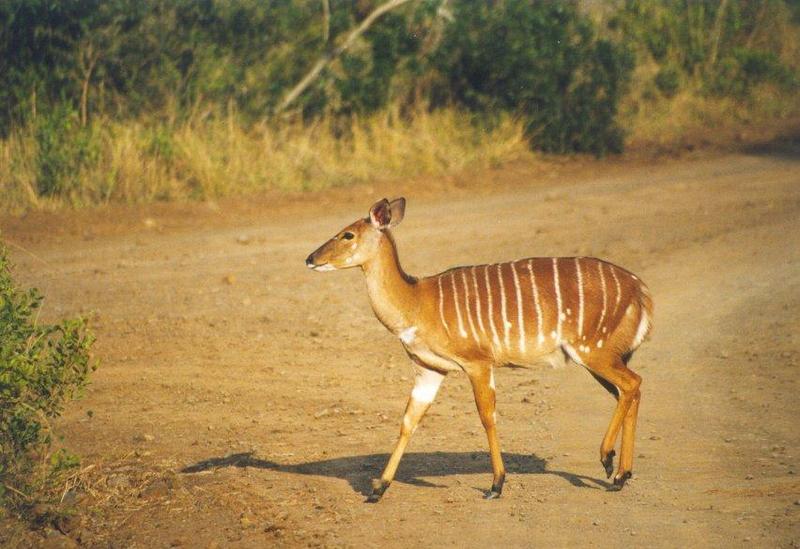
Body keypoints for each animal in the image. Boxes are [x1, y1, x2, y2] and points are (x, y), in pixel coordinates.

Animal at [304, 198, 648, 500]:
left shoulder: (478, 363)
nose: (310, 258)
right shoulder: (429, 369)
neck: (417, 302)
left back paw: (607, 460)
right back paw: (621, 475)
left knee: (632, 384)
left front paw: (496, 484)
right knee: (629, 389)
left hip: (594, 351)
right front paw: (378, 489)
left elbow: (487, 416)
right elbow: (408, 421)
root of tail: (641, 290)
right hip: (602, 357)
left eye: (347, 234)